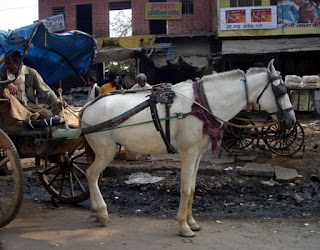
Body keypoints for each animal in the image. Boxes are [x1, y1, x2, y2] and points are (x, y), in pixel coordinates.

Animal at [79, 59, 296, 237]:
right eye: (281, 91)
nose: (291, 120)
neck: (201, 104)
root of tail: (86, 108)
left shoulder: (197, 154)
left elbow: (192, 188)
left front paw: (192, 222)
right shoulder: (188, 153)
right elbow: (184, 188)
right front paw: (183, 226)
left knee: (91, 175)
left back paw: (96, 211)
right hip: (106, 150)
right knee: (91, 174)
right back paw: (102, 211)